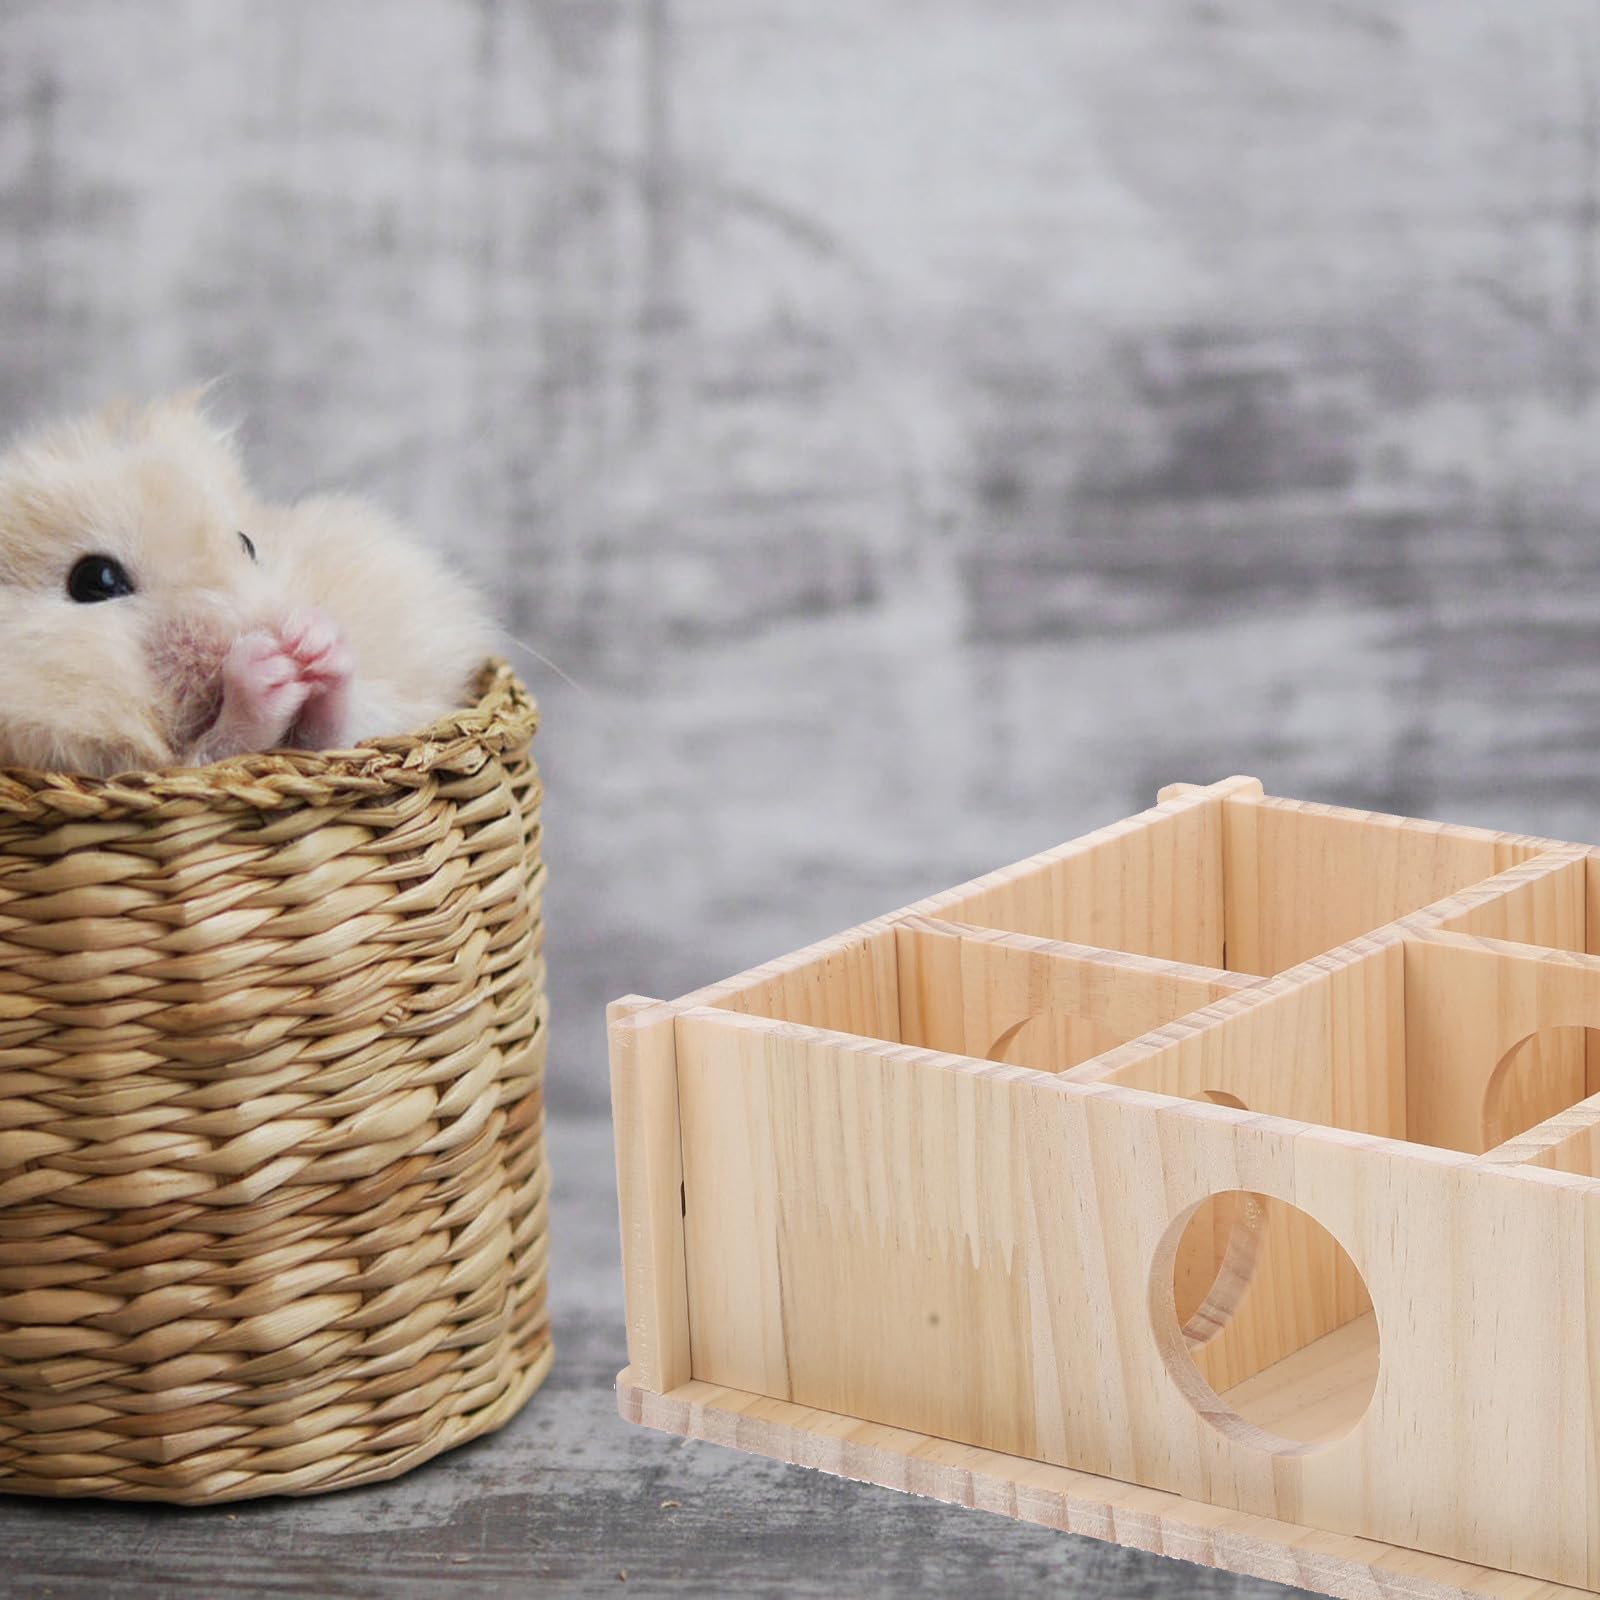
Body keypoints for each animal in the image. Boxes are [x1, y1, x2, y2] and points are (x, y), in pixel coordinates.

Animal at [0, 392, 497, 778]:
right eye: (96, 580)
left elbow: (333, 732)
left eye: (247, 543)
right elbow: (221, 749)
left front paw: (313, 642)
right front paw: (266, 665)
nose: (270, 633)